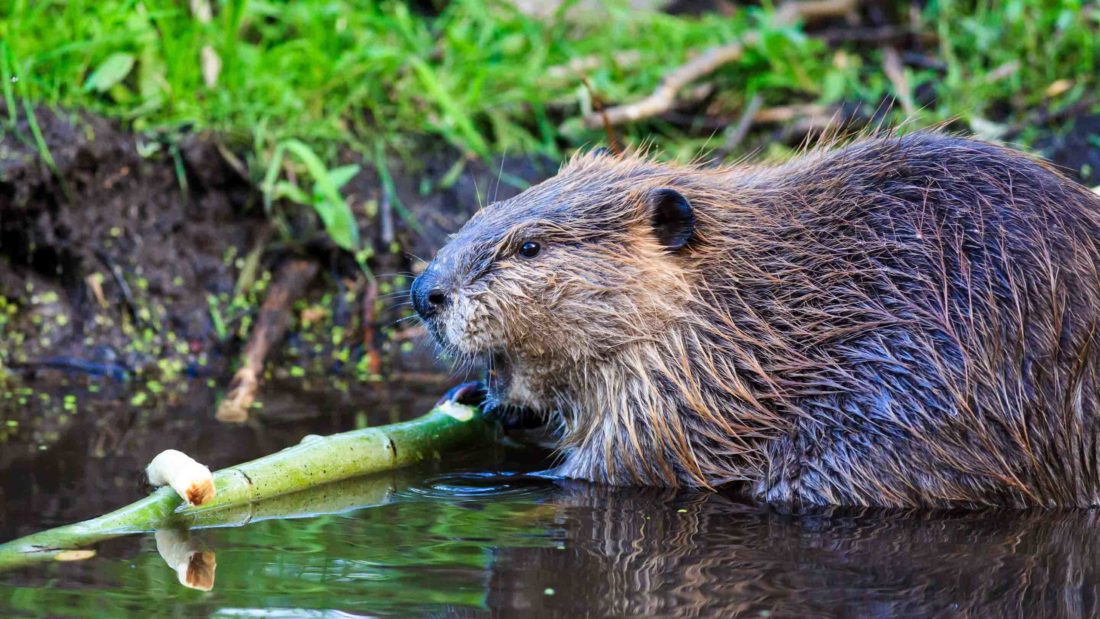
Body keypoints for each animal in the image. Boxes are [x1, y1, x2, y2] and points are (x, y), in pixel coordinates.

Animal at [409, 131, 1100, 507]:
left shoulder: (679, 393)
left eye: (529, 247)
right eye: (483, 212)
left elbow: (611, 473)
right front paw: (478, 399)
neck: (743, 307)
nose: (424, 292)